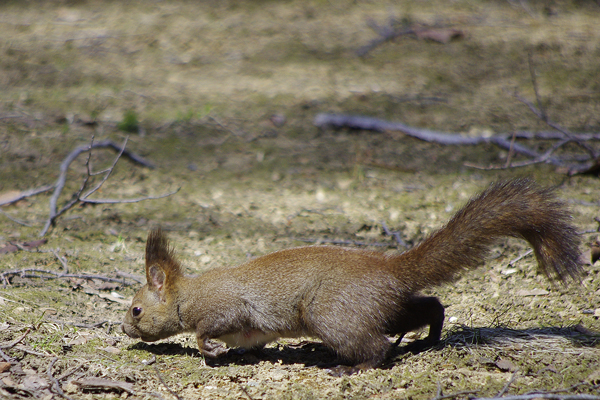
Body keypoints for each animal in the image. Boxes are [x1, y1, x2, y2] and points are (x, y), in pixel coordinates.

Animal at [120, 180, 580, 374]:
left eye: (137, 309)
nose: (124, 329)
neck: (186, 295)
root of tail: (390, 269)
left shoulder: (222, 308)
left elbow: (208, 329)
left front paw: (209, 348)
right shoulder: (252, 330)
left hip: (332, 314)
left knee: (377, 347)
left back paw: (351, 368)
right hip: (382, 306)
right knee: (429, 307)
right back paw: (428, 338)